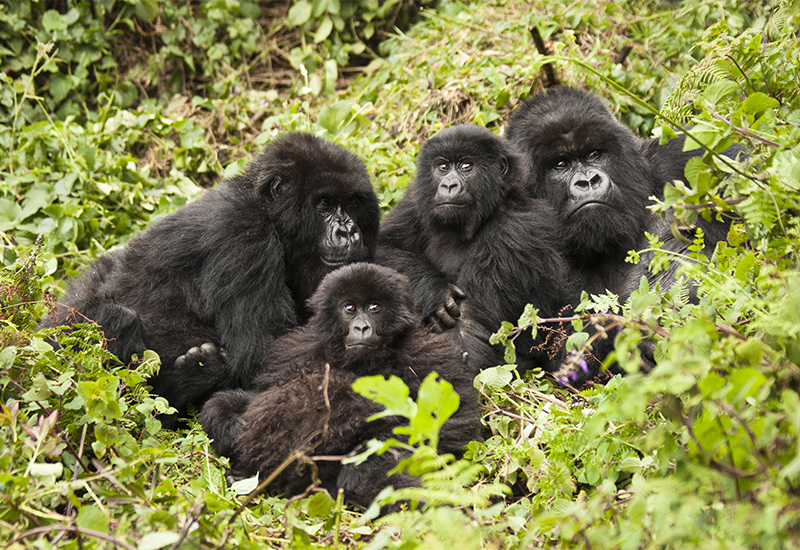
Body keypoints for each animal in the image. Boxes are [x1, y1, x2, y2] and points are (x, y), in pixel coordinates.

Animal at [41, 133, 382, 418]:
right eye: (324, 203)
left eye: (353, 203)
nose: (348, 231)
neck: (266, 210)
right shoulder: (243, 235)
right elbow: (261, 354)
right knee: (118, 319)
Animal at [199, 264, 478, 508]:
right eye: (350, 308)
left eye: (375, 307)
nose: (362, 327)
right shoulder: (296, 349)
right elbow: (258, 395)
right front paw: (229, 423)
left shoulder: (425, 352)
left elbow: (452, 419)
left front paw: (361, 466)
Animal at [378, 125, 580, 376]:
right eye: (443, 167)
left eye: (467, 166)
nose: (448, 185)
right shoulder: (416, 201)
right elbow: (383, 248)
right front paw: (433, 290)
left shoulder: (514, 231)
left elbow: (471, 327)